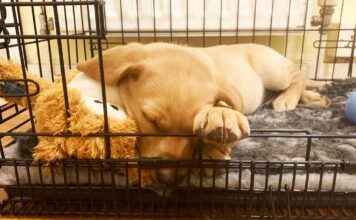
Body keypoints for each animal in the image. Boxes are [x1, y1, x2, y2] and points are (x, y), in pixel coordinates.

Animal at [76, 42, 330, 184]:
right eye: (151, 120)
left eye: (193, 132)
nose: (168, 179)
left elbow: (225, 110)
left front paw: (214, 141)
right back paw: (314, 97)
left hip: (273, 70)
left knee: (298, 75)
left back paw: (289, 99)